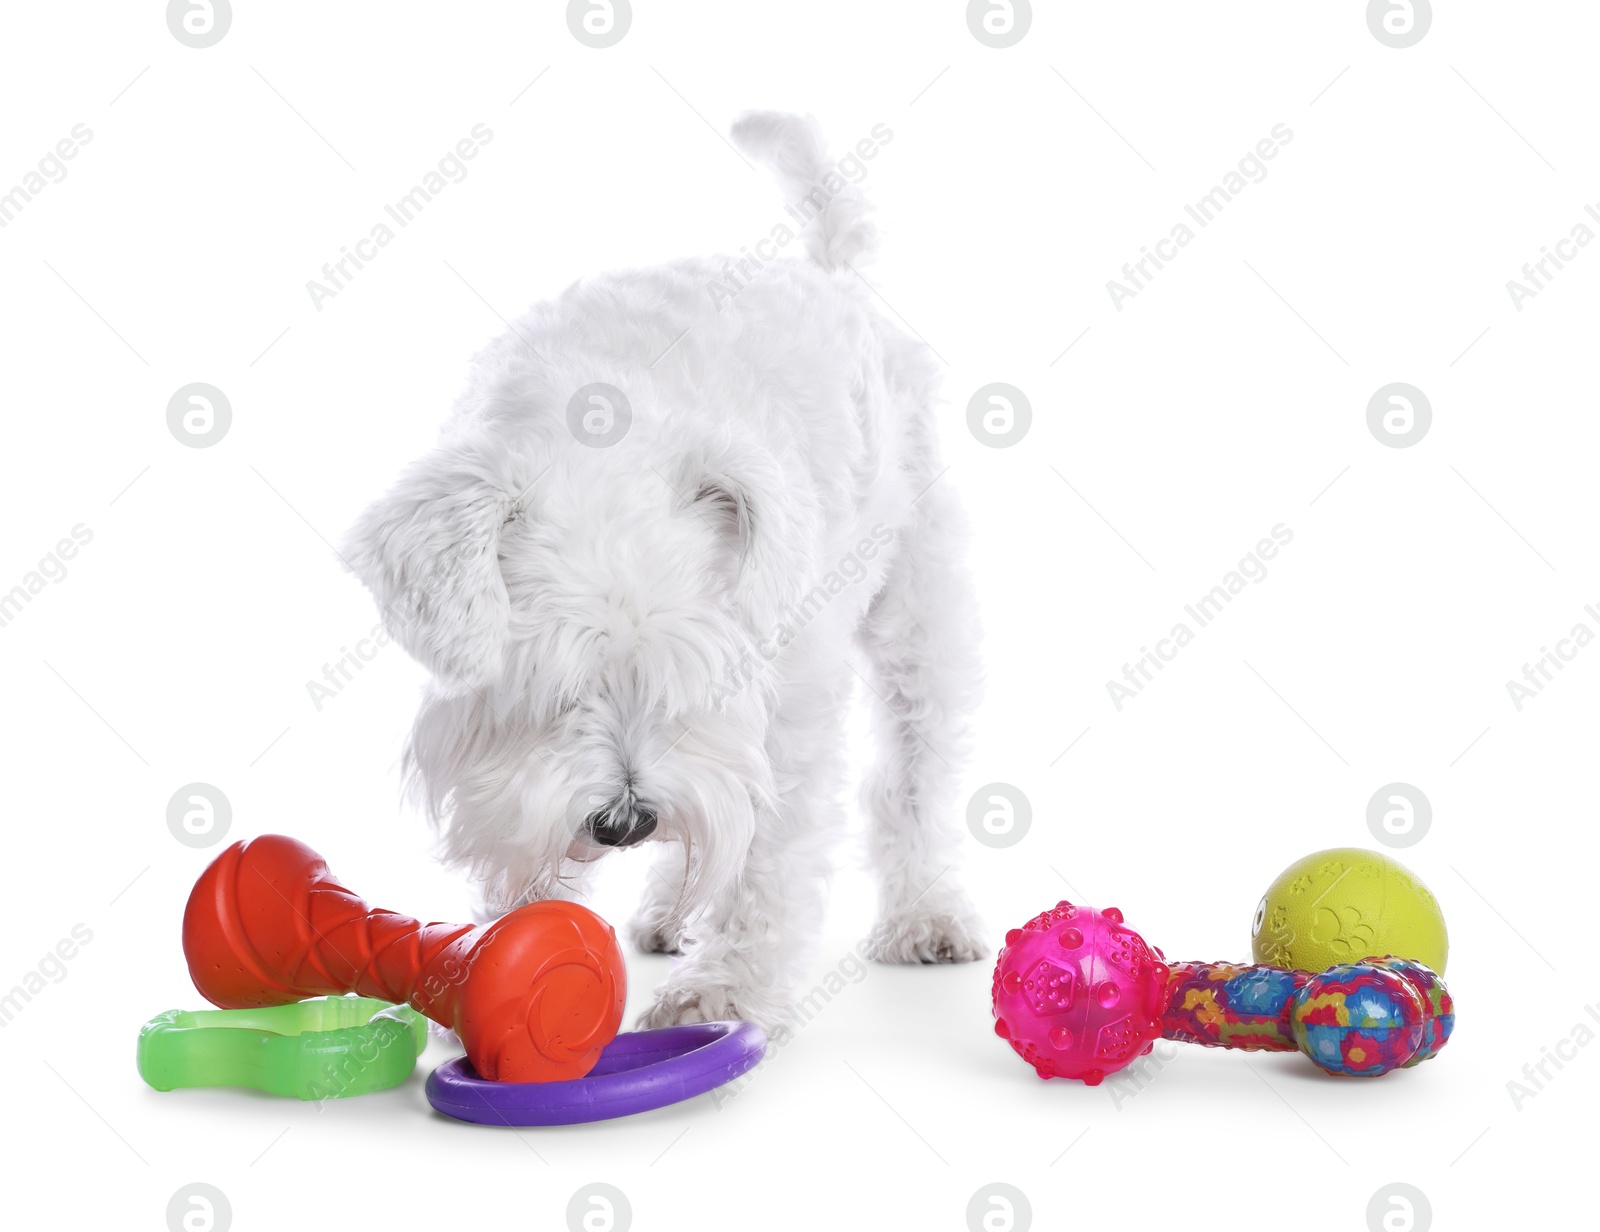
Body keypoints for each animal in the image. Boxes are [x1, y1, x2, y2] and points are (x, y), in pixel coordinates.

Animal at [344, 112, 979, 1024]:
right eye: (545, 686)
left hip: (919, 616)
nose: (624, 821)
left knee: (915, 775)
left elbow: (768, 856)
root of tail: (832, 275)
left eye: (689, 677)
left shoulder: (788, 705)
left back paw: (927, 917)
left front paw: (725, 993)